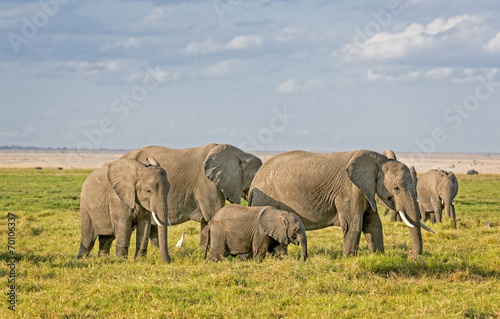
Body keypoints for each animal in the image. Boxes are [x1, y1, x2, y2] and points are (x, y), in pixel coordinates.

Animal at [248, 151, 436, 260]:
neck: (378, 160)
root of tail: (253, 184)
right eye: (396, 189)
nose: (412, 257)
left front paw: (378, 258)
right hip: (266, 199)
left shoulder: (365, 191)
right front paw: (349, 260)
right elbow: (354, 224)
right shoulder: (349, 191)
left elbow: (373, 224)